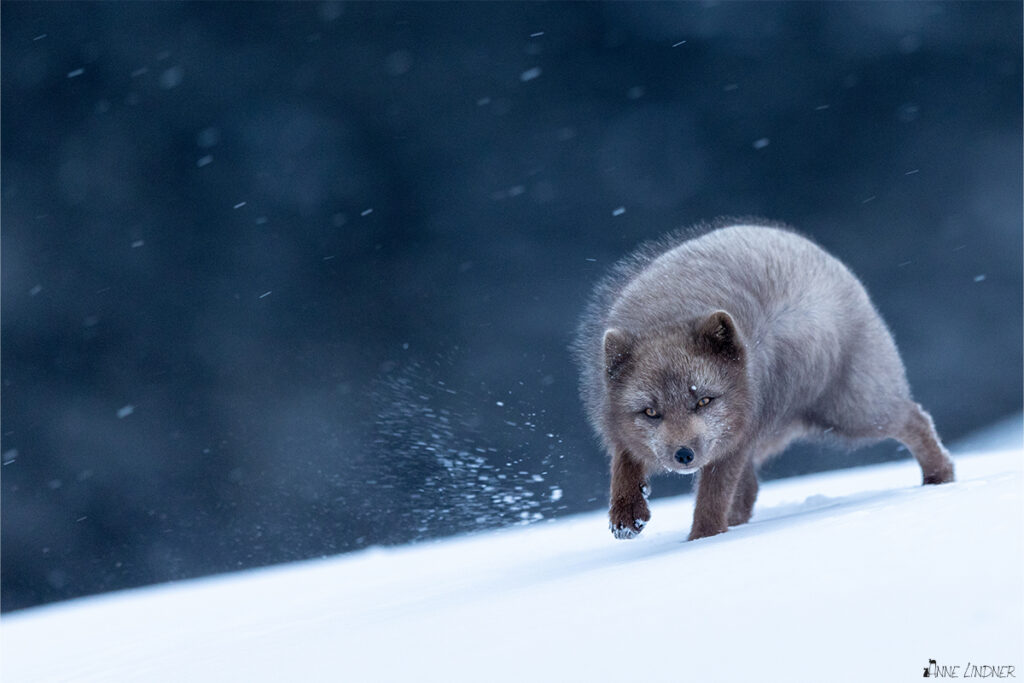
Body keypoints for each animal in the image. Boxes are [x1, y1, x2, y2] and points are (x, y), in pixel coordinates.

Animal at [573, 222, 954, 540]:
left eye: (703, 401)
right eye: (651, 412)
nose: (683, 455)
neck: (668, 314)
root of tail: (829, 259)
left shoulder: (735, 440)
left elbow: (711, 499)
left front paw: (702, 542)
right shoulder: (621, 423)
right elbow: (624, 461)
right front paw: (627, 515)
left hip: (853, 414)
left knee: (915, 417)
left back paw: (940, 476)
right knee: (750, 490)